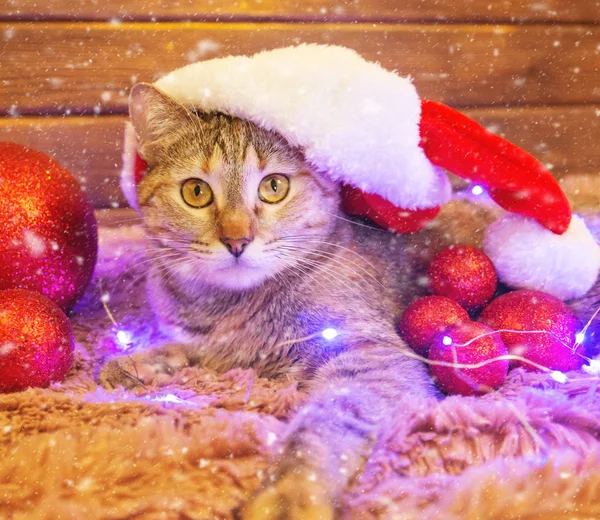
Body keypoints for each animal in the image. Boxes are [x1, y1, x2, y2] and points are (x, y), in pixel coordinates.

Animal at [98, 83, 436, 516]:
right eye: (196, 191)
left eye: (274, 186)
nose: (237, 240)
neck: (233, 306)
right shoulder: (203, 340)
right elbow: (185, 348)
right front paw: (139, 362)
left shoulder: (371, 355)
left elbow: (326, 422)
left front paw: (293, 491)